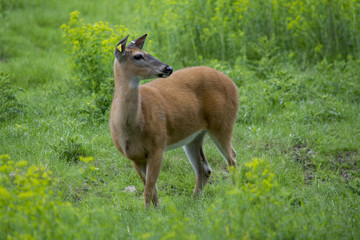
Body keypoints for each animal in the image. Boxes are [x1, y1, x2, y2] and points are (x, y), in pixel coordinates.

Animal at [109, 33, 239, 208]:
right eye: (138, 56)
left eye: (147, 52)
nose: (168, 68)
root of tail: (232, 83)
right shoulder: (134, 157)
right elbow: (151, 188)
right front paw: (156, 210)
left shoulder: (157, 146)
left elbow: (149, 188)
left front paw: (148, 212)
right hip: (194, 136)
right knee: (204, 169)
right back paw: (194, 201)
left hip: (223, 122)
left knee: (232, 158)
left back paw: (235, 193)